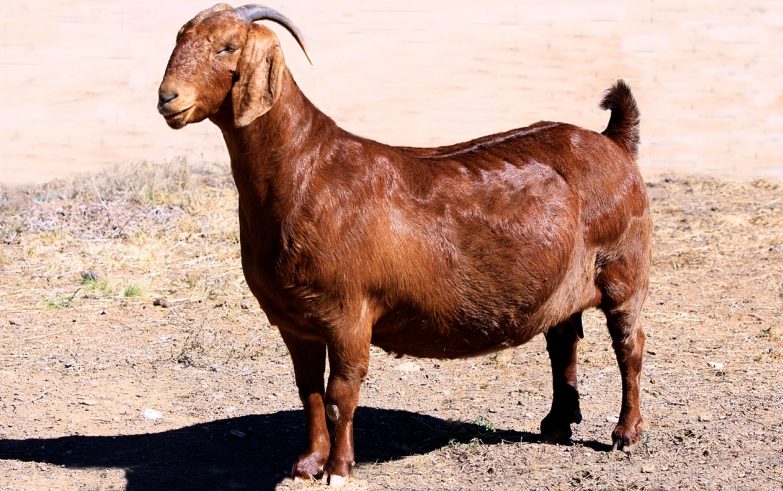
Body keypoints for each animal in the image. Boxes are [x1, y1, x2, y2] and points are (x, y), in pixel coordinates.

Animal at [158, 4, 648, 488]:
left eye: (227, 47)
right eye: (179, 40)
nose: (168, 98)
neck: (306, 169)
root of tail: (614, 142)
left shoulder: (348, 312)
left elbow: (342, 391)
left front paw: (339, 468)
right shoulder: (294, 319)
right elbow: (308, 389)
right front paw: (306, 464)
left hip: (623, 267)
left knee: (630, 343)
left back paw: (625, 433)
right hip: (562, 286)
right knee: (562, 340)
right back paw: (557, 423)